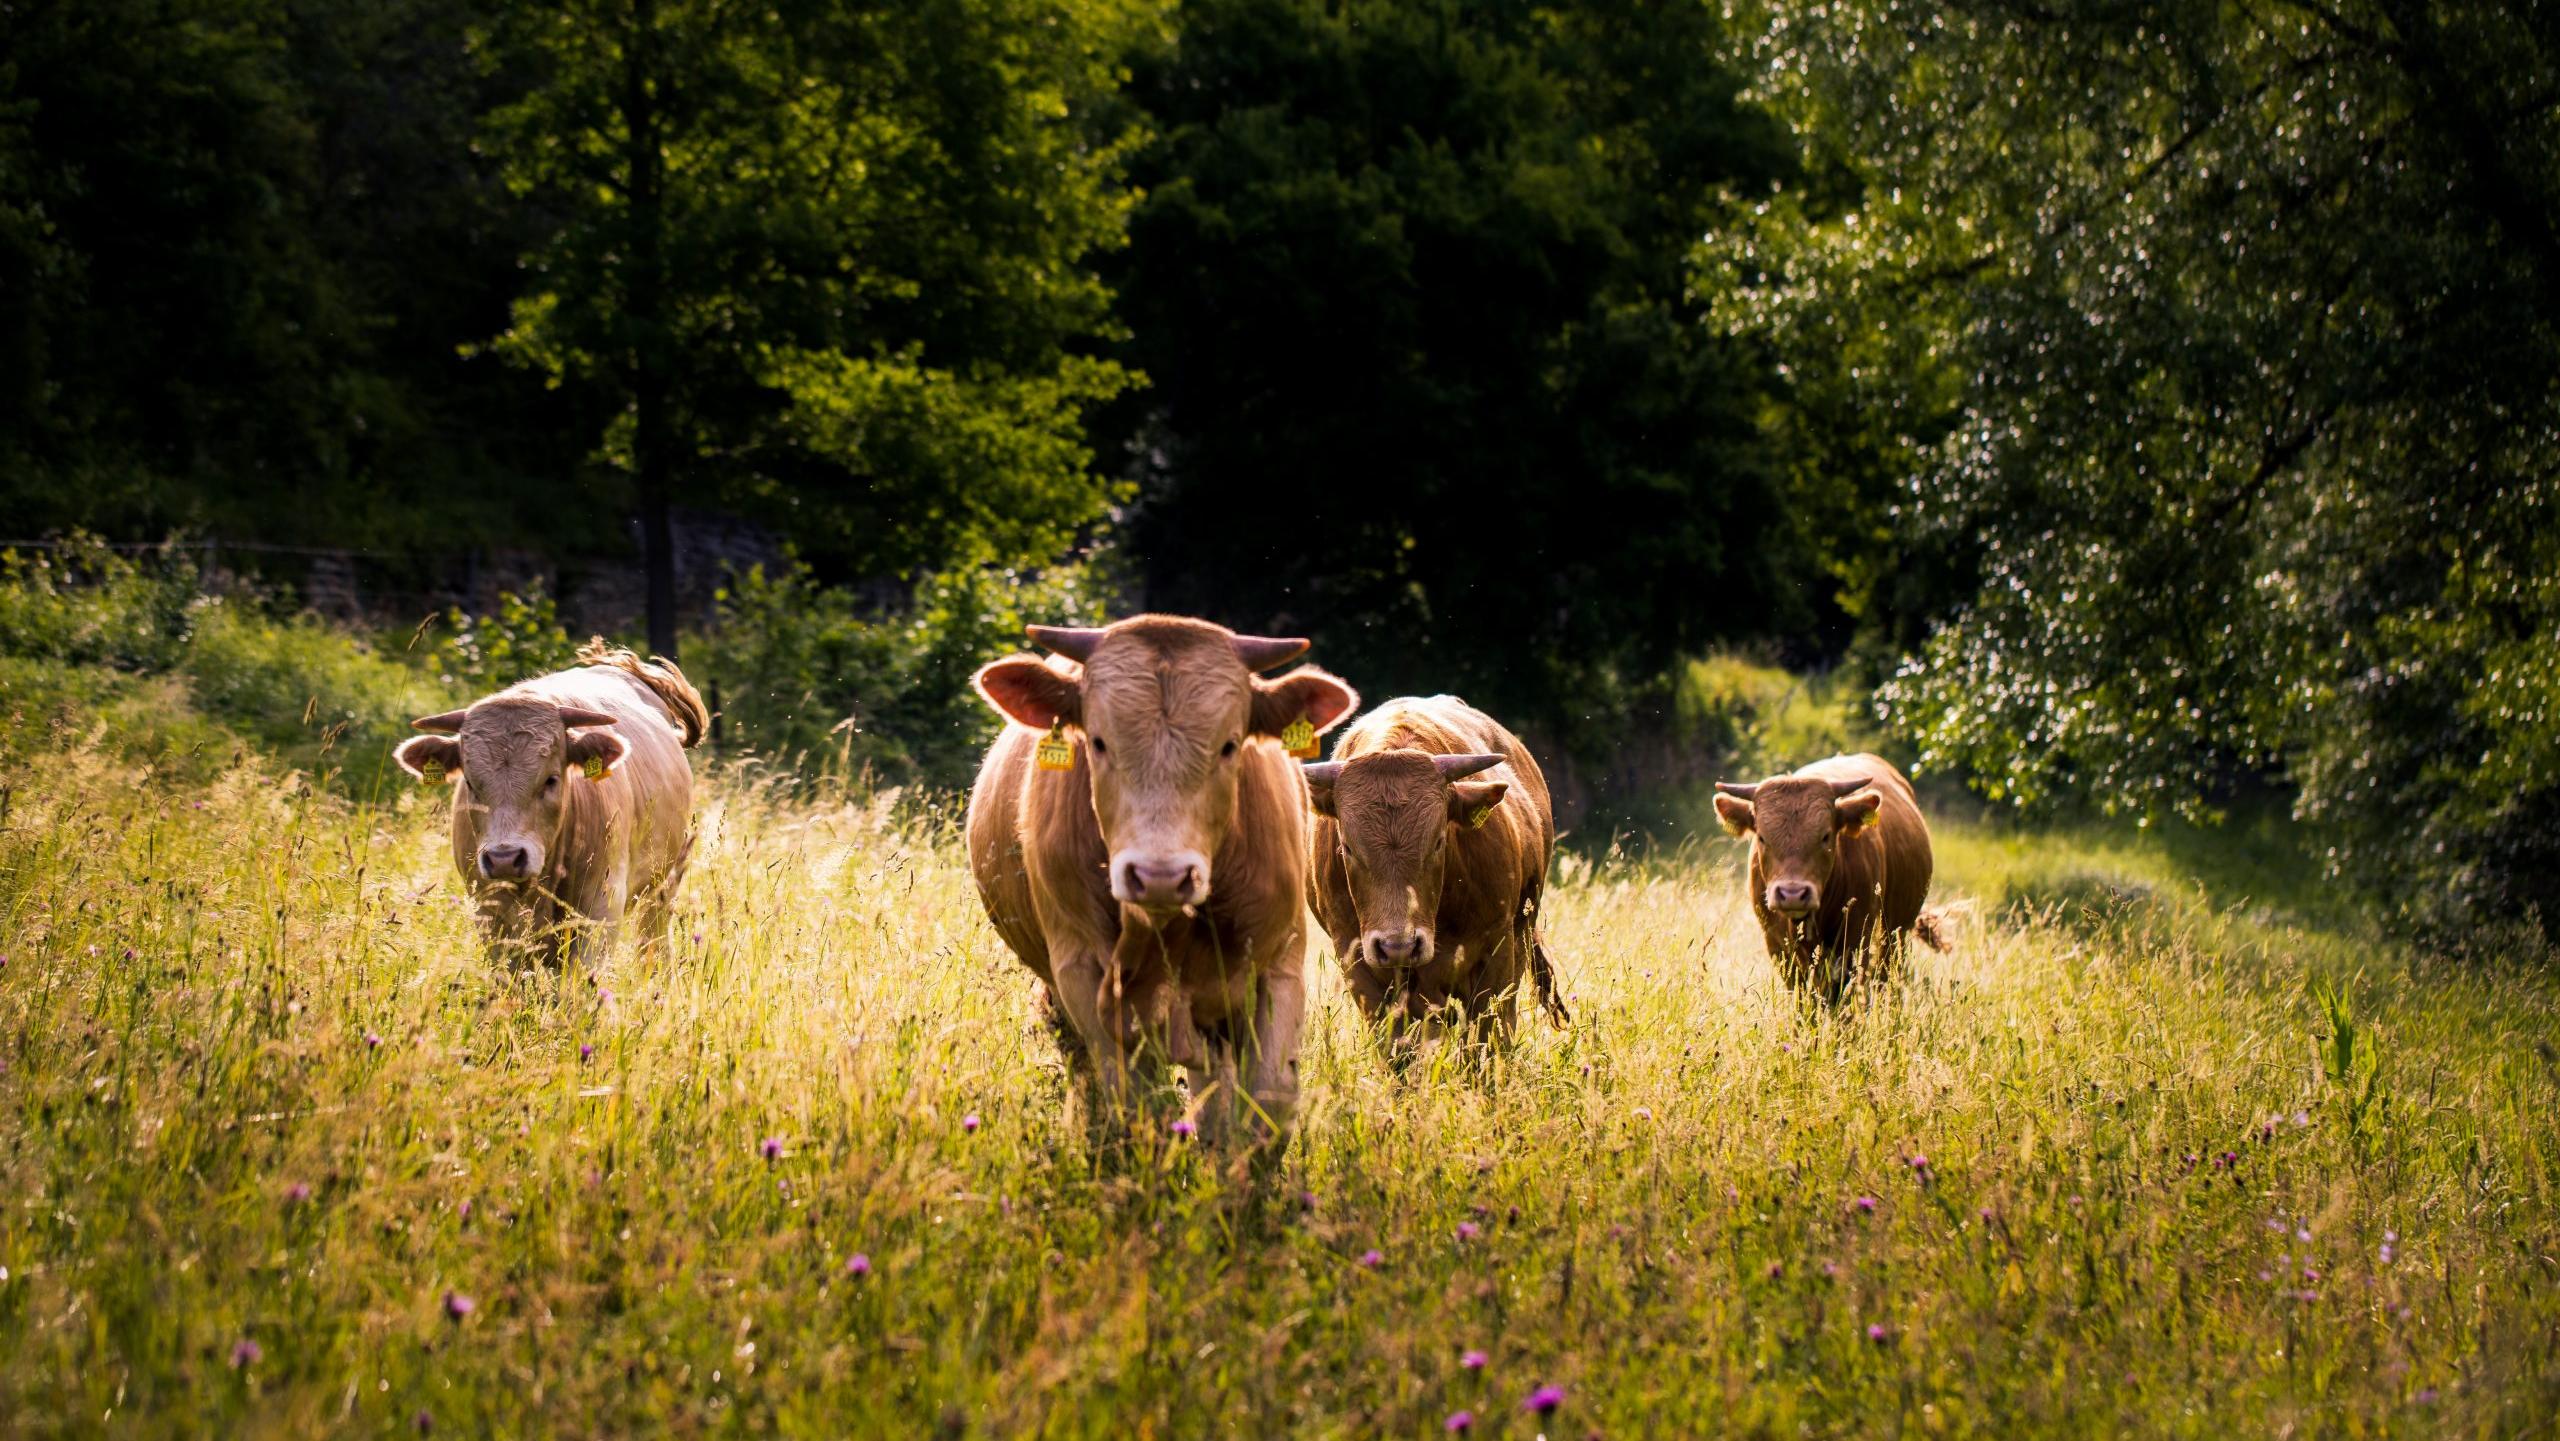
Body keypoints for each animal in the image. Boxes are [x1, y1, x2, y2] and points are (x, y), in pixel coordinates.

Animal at [389, 644, 711, 967]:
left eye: (551, 779)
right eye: (469, 782)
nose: (504, 858)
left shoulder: (600, 908)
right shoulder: (490, 914)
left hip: (662, 885)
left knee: (653, 945)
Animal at [962, 614, 1361, 1146]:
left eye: (1229, 745)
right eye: (1098, 742)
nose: (1160, 877)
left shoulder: (1279, 961)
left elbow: (1267, 1106)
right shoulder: (1083, 971)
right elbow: (1136, 1104)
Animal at [1720, 752, 1935, 998]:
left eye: (1825, 836)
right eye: (1762, 838)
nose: (1792, 894)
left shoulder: (1856, 937)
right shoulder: (1776, 944)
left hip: (1895, 935)